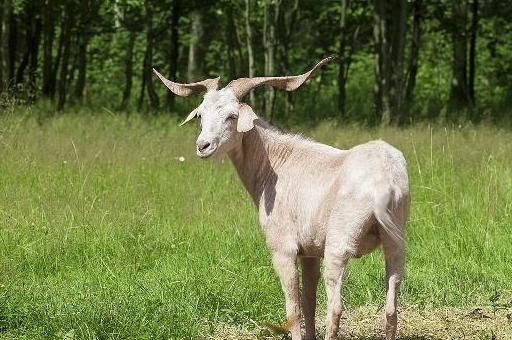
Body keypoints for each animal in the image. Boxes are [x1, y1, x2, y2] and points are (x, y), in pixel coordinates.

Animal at [154, 56, 410, 340]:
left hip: (339, 242)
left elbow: (293, 307)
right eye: (201, 114)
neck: (276, 162)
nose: (203, 146)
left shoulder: (283, 248)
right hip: (395, 240)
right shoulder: (310, 251)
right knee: (391, 307)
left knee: (335, 308)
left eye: (232, 116)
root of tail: (386, 183)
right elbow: (309, 303)